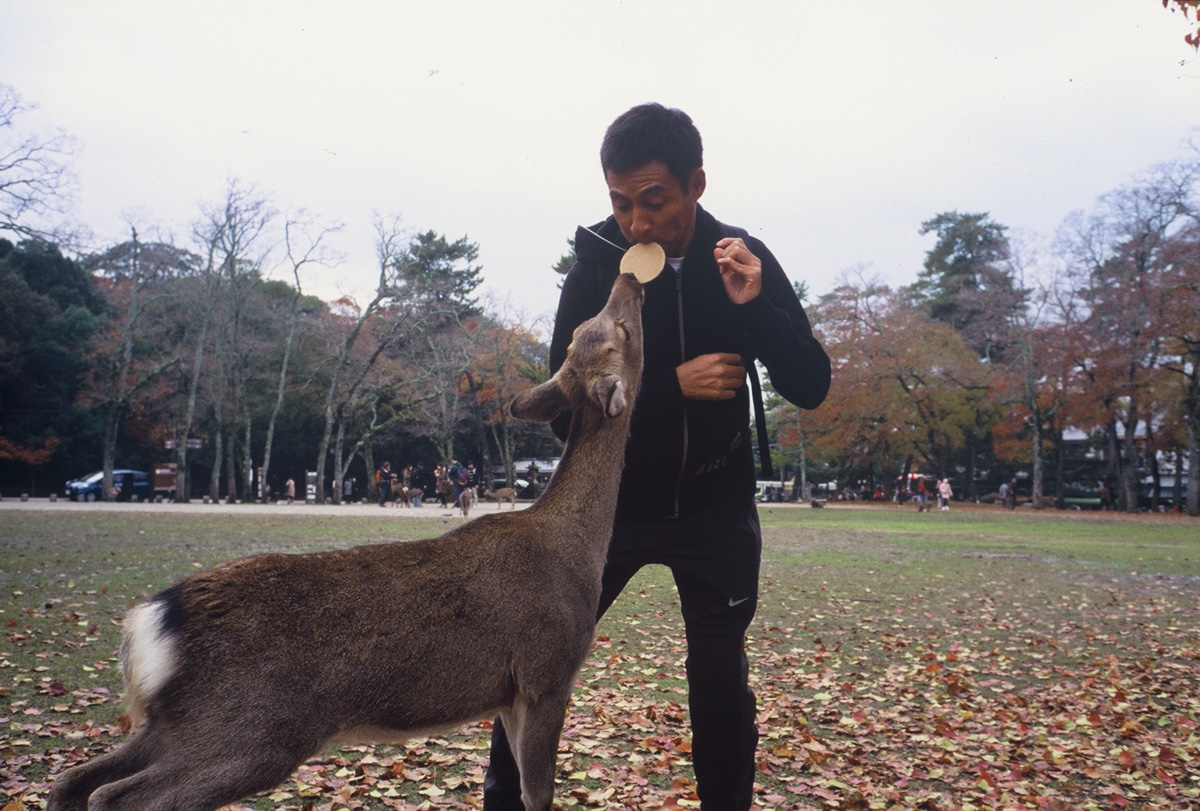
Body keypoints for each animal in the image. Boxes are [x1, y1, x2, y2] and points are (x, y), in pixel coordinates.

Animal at [49, 271, 648, 811]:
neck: (576, 551)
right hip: (251, 731)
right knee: (117, 796)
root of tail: (152, 623)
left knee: (72, 782)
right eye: (619, 329)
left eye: (585, 330)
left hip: (178, 724)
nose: (631, 279)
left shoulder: (508, 692)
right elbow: (539, 793)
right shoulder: (548, 671)